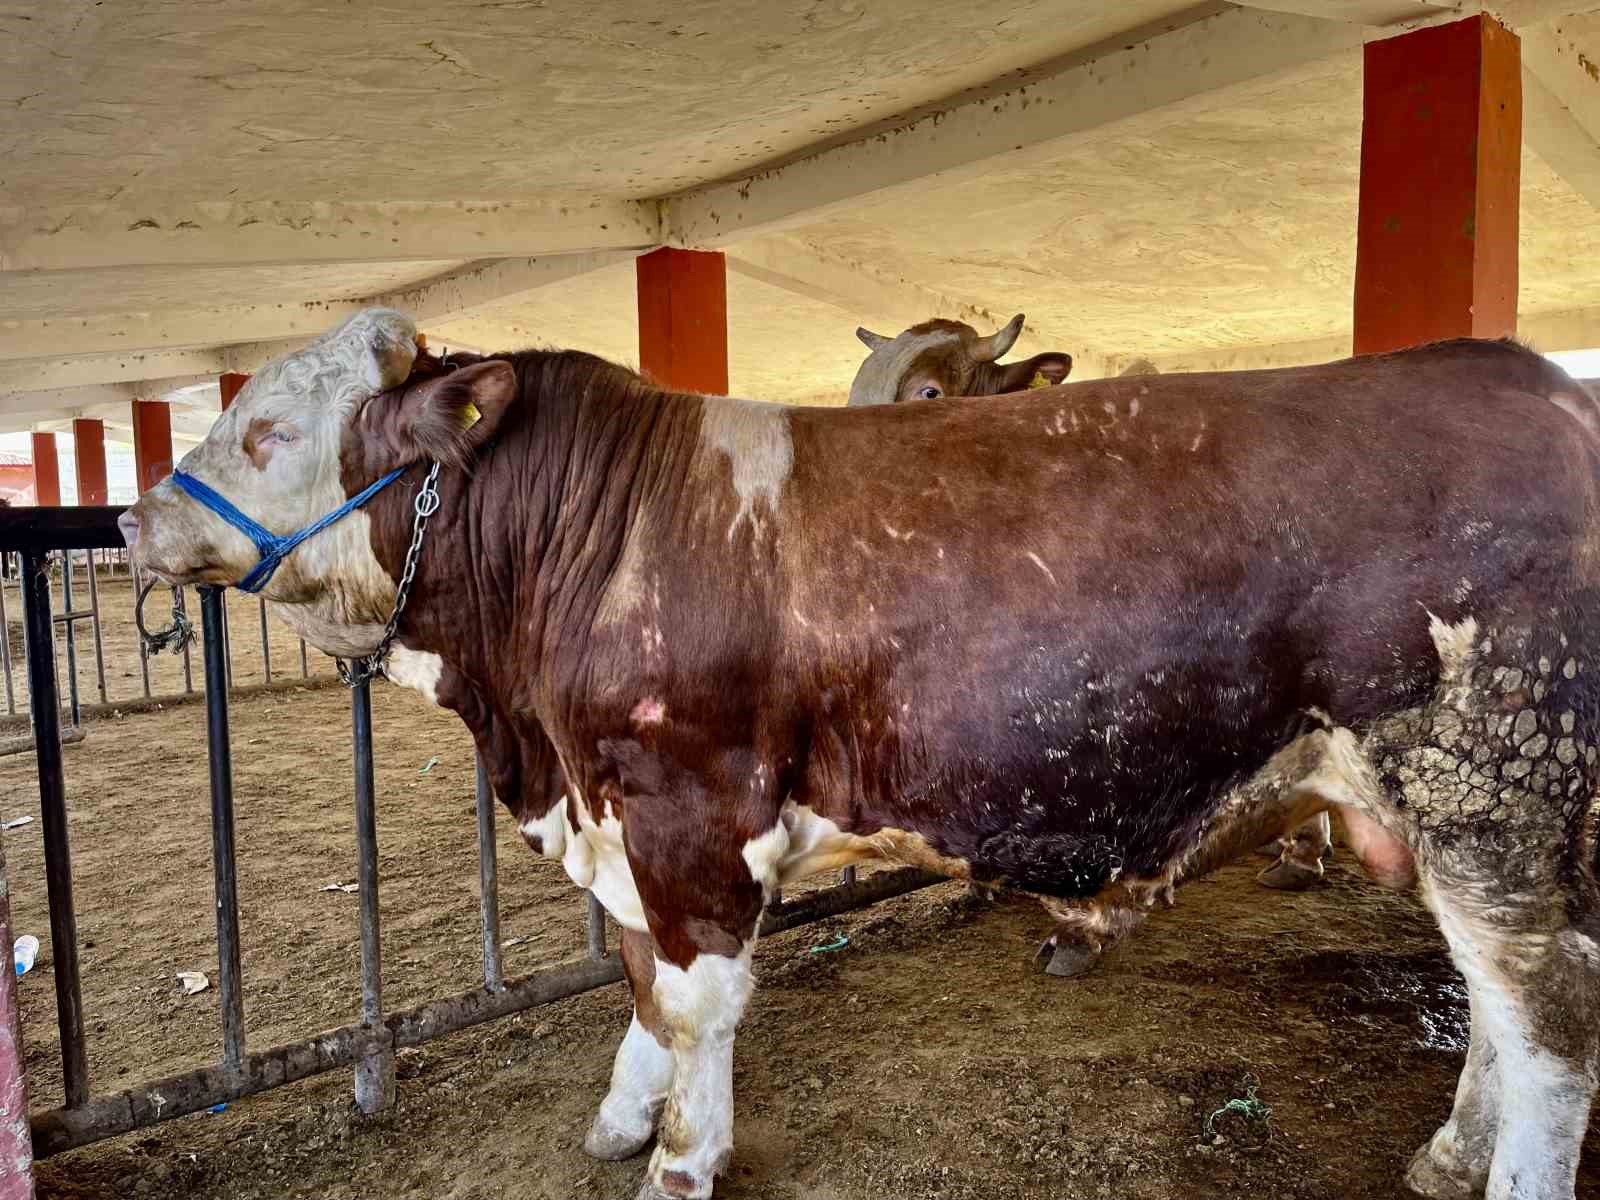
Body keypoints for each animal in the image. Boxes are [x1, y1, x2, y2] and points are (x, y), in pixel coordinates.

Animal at [121, 312, 1600, 1200]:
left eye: (267, 432)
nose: (135, 519)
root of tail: (1533, 380)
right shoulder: (619, 822)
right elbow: (639, 983)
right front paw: (625, 1116)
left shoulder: (687, 807)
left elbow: (695, 1000)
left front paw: (680, 1158)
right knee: (1496, 1007)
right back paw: (1449, 1151)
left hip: (1494, 787)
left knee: (1550, 1026)